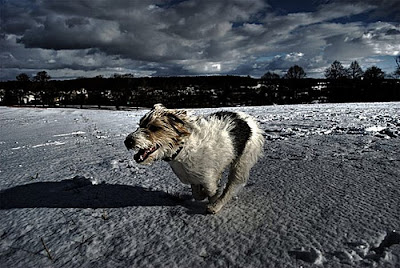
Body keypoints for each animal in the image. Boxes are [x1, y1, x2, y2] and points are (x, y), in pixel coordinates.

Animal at [123, 103, 264, 214]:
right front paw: (202, 194)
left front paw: (213, 199)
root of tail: (248, 119)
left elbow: (211, 191)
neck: (182, 149)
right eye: (140, 125)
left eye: (154, 128)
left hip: (242, 163)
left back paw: (216, 206)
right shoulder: (192, 176)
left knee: (232, 186)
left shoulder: (208, 177)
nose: (127, 141)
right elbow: (197, 194)